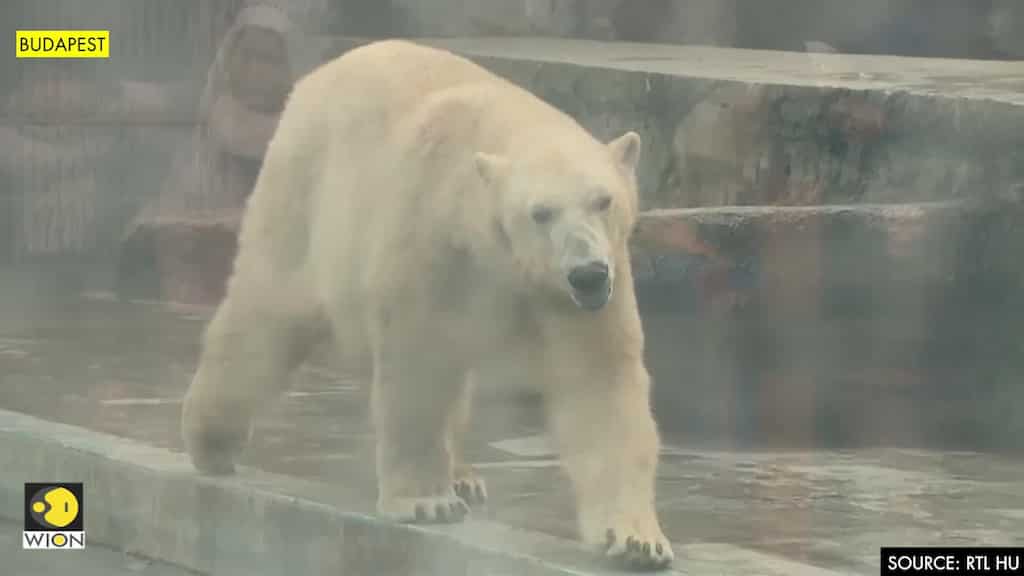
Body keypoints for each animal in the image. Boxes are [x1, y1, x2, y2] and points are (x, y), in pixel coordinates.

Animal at [180, 39, 673, 570]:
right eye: (540, 212)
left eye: (604, 200)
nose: (587, 273)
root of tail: (319, 75)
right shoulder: (431, 237)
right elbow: (419, 361)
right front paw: (426, 502)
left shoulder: (586, 289)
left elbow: (600, 385)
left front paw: (639, 540)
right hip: (305, 192)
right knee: (265, 314)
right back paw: (211, 438)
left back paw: (464, 475)